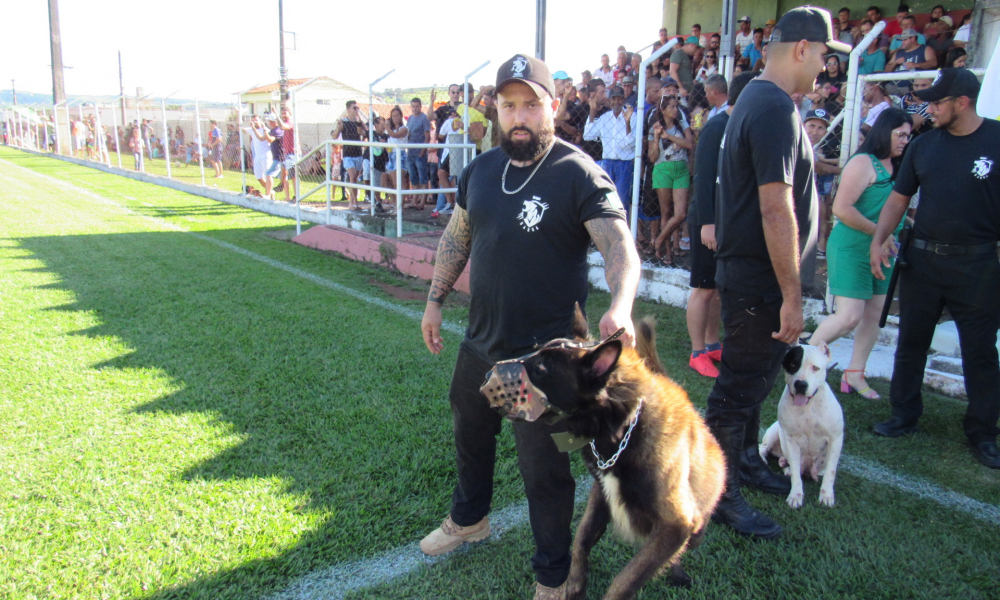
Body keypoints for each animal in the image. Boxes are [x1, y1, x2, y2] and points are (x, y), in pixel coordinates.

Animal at [520, 314, 724, 600]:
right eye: (537, 350)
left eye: (540, 367)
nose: (492, 370)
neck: (624, 425)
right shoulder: (601, 491)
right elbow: (581, 537)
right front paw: (575, 584)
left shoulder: (677, 523)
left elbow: (625, 579)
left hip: (694, 529)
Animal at [756, 342, 844, 506]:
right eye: (792, 365)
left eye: (815, 368)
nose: (801, 384)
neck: (808, 406)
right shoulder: (791, 440)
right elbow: (796, 472)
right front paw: (795, 495)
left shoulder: (835, 438)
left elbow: (831, 471)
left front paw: (826, 495)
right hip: (775, 431)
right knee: (763, 448)